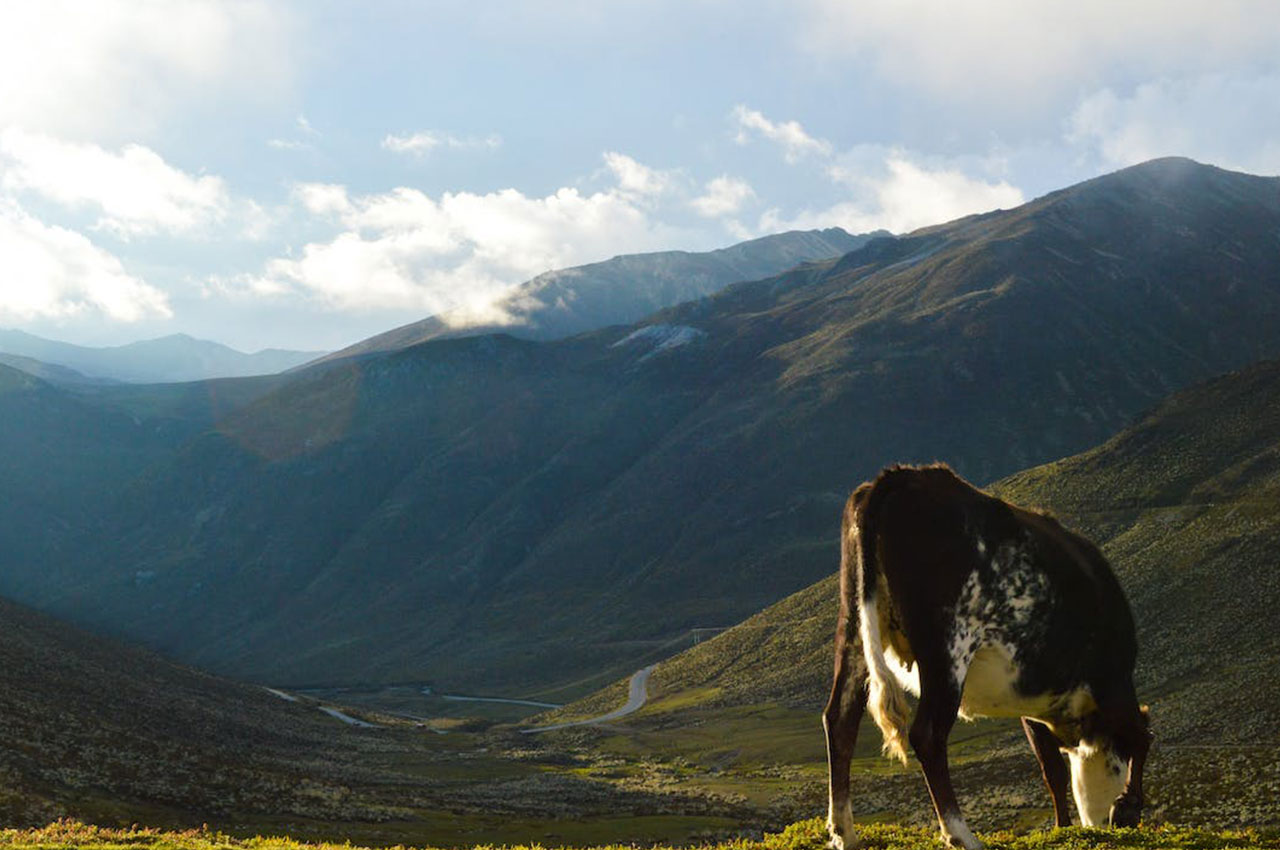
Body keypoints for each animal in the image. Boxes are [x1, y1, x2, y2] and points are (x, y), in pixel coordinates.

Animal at [824, 465, 1157, 850]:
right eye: (1117, 766)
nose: (1101, 824)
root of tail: (903, 477)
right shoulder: (1112, 681)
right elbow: (1140, 736)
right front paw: (1127, 806)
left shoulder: (1034, 703)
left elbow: (1052, 770)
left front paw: (1062, 827)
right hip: (948, 643)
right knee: (928, 735)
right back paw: (960, 834)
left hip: (853, 624)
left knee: (840, 719)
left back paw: (845, 833)